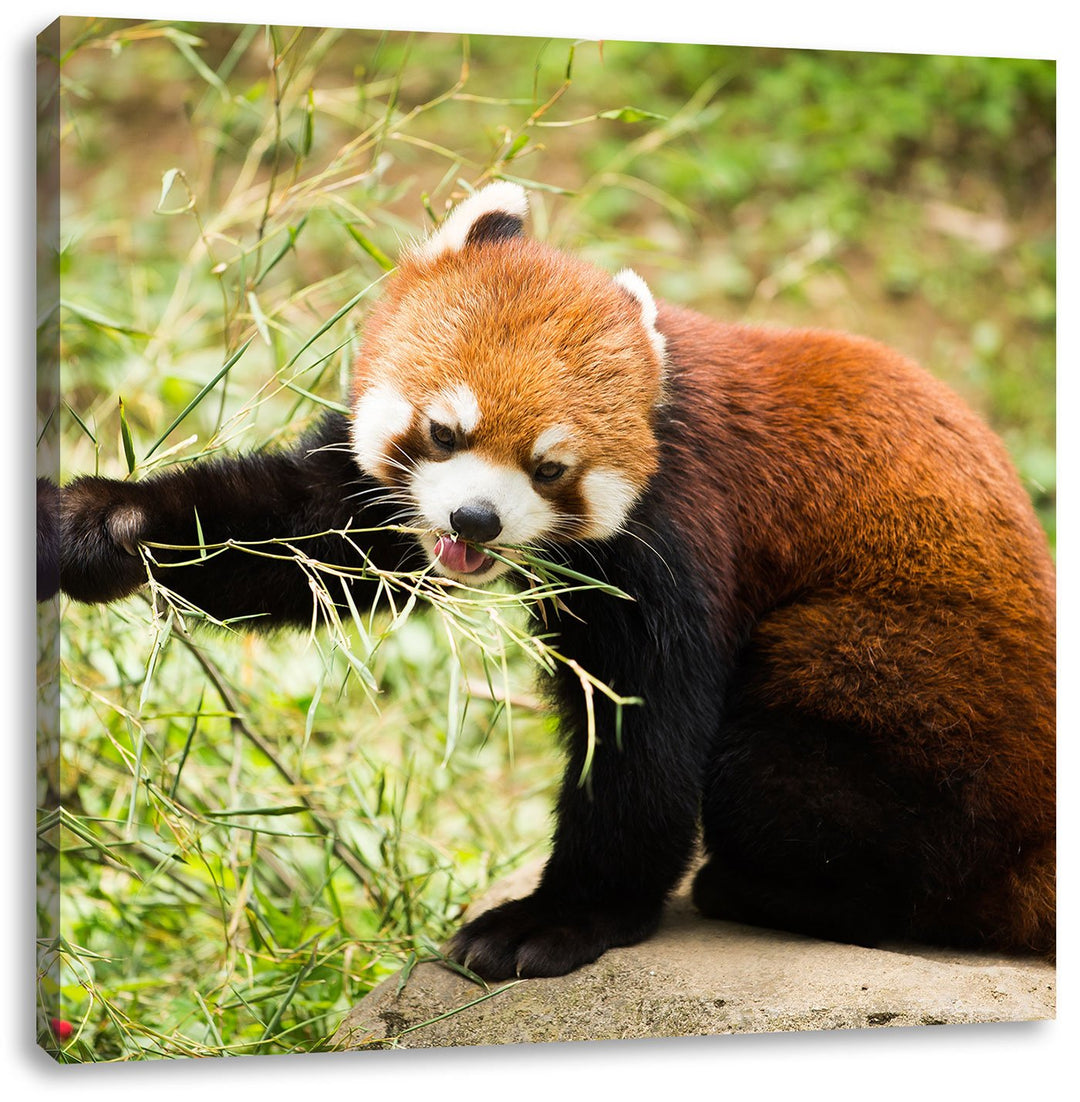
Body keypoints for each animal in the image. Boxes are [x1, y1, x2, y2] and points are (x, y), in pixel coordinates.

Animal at [41, 182, 1056, 980]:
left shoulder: (682, 533)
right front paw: (100, 526)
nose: (474, 521)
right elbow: (308, 535)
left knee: (776, 772)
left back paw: (767, 889)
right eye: (445, 432)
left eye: (550, 467)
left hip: (894, 689)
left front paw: (558, 920)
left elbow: (645, 735)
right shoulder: (379, 500)